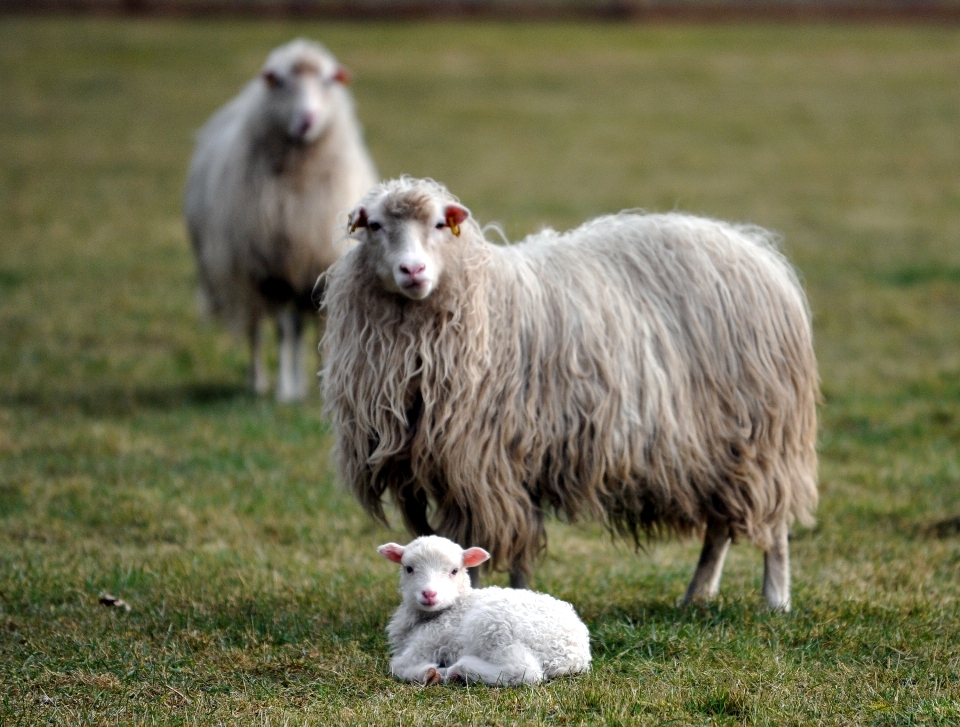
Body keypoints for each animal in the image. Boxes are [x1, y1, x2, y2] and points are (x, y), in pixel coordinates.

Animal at [182, 38, 376, 404]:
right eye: (282, 82)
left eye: (327, 82)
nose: (307, 120)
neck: (301, 178)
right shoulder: (269, 268)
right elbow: (282, 332)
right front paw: (284, 390)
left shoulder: (317, 265)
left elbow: (317, 331)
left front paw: (319, 387)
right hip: (248, 276)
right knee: (258, 330)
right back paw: (259, 381)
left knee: (295, 328)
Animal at [322, 178, 816, 616]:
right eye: (375, 226)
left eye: (441, 225)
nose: (413, 271)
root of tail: (756, 250)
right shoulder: (475, 464)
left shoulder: (484, 463)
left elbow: (477, 551)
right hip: (719, 448)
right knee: (719, 528)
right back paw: (697, 595)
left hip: (760, 435)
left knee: (773, 527)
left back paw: (776, 600)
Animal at [376, 536, 592, 688]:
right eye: (409, 568)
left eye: (454, 571)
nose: (429, 594)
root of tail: (574, 656)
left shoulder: (432, 640)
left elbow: (397, 666)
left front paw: (429, 674)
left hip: (495, 629)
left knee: (524, 671)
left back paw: (458, 669)